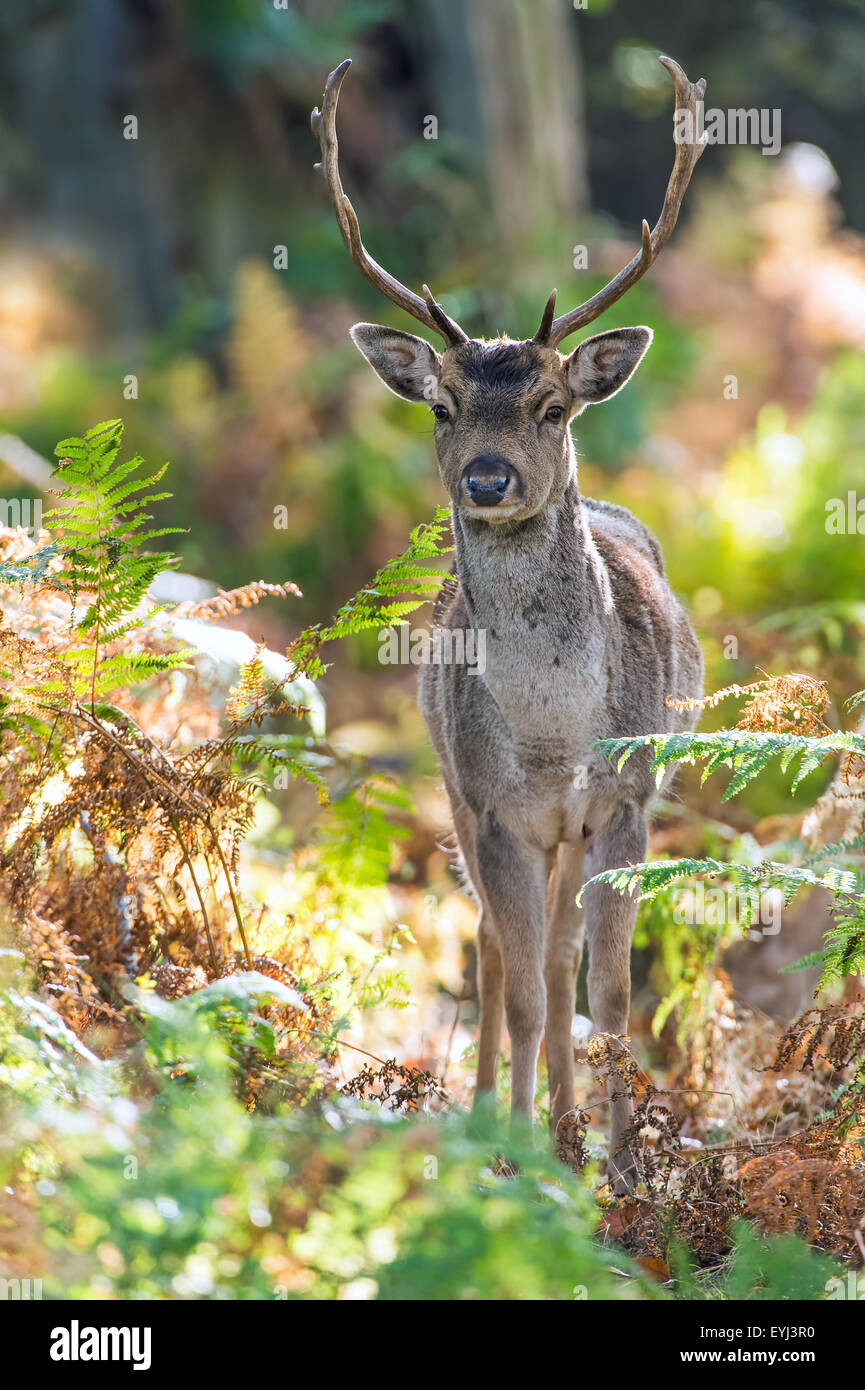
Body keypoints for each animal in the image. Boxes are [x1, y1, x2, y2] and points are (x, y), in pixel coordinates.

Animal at [315, 51, 709, 1184]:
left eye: (552, 406)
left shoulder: (623, 797)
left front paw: (619, 1171)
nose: (488, 478)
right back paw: (497, 1113)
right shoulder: (494, 807)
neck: (550, 737)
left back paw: (573, 1132)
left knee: (561, 950)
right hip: (455, 789)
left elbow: (607, 988)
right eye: (440, 405)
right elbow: (528, 990)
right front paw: (520, 1160)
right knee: (495, 947)